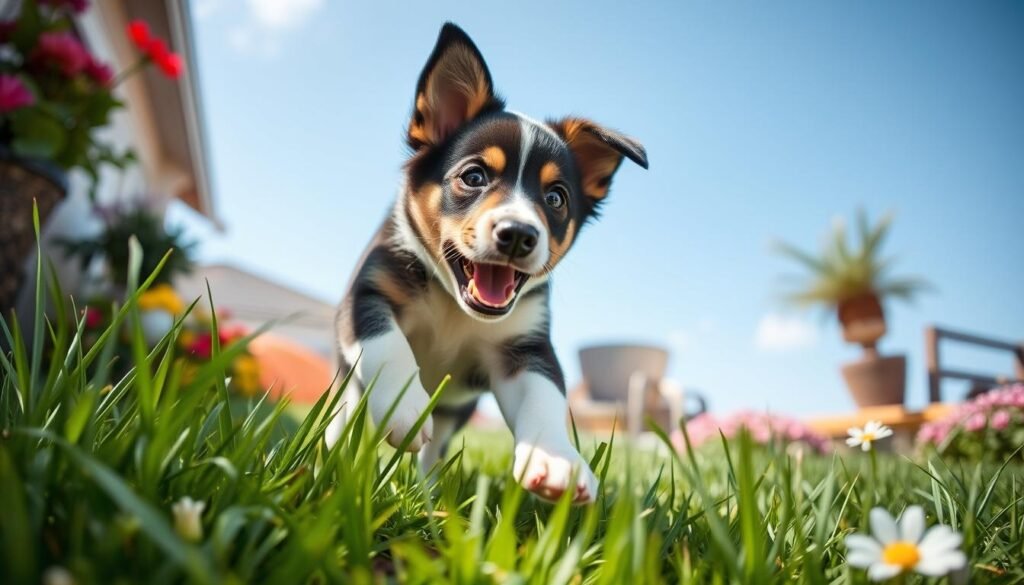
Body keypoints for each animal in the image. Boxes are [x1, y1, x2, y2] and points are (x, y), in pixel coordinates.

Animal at [333, 22, 647, 504]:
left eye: (556, 198)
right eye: (474, 176)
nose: (518, 234)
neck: (453, 305)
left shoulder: (525, 347)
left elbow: (546, 395)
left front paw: (557, 460)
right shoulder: (365, 294)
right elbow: (386, 342)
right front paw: (406, 404)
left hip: (455, 410)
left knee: (435, 450)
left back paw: (430, 496)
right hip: (348, 387)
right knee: (339, 423)